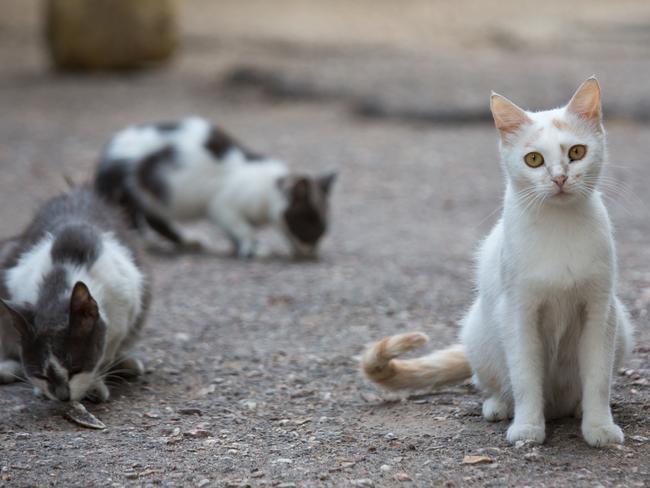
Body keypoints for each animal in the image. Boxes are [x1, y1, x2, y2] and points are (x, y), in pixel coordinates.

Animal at [0, 186, 148, 400]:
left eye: (75, 369)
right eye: (41, 375)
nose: (63, 396)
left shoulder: (127, 297)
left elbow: (107, 350)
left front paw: (95, 384)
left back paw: (127, 363)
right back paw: (7, 367)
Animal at [97, 117, 340, 260]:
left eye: (323, 229)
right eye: (309, 223)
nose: (312, 250)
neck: (269, 187)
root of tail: (107, 153)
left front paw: (239, 245)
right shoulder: (223, 205)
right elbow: (241, 227)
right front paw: (252, 247)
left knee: (155, 219)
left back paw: (187, 241)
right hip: (129, 188)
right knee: (131, 216)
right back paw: (142, 243)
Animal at [356, 78, 632, 448]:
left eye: (576, 153)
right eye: (533, 159)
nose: (559, 178)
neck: (559, 226)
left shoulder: (600, 311)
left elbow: (598, 378)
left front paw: (599, 426)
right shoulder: (518, 312)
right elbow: (525, 375)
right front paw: (527, 428)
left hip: (622, 326)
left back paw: (575, 409)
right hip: (479, 330)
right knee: (494, 382)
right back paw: (500, 406)